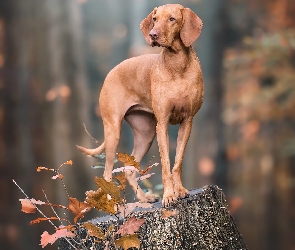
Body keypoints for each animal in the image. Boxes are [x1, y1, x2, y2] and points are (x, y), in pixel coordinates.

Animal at [77, 4, 205, 207]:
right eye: (154, 19)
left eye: (172, 19)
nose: (152, 34)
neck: (177, 64)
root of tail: (111, 72)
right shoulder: (162, 124)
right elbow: (166, 164)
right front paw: (169, 196)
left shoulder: (187, 121)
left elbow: (177, 162)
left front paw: (180, 191)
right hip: (114, 130)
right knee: (107, 173)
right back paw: (114, 206)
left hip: (146, 133)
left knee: (128, 169)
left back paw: (144, 200)